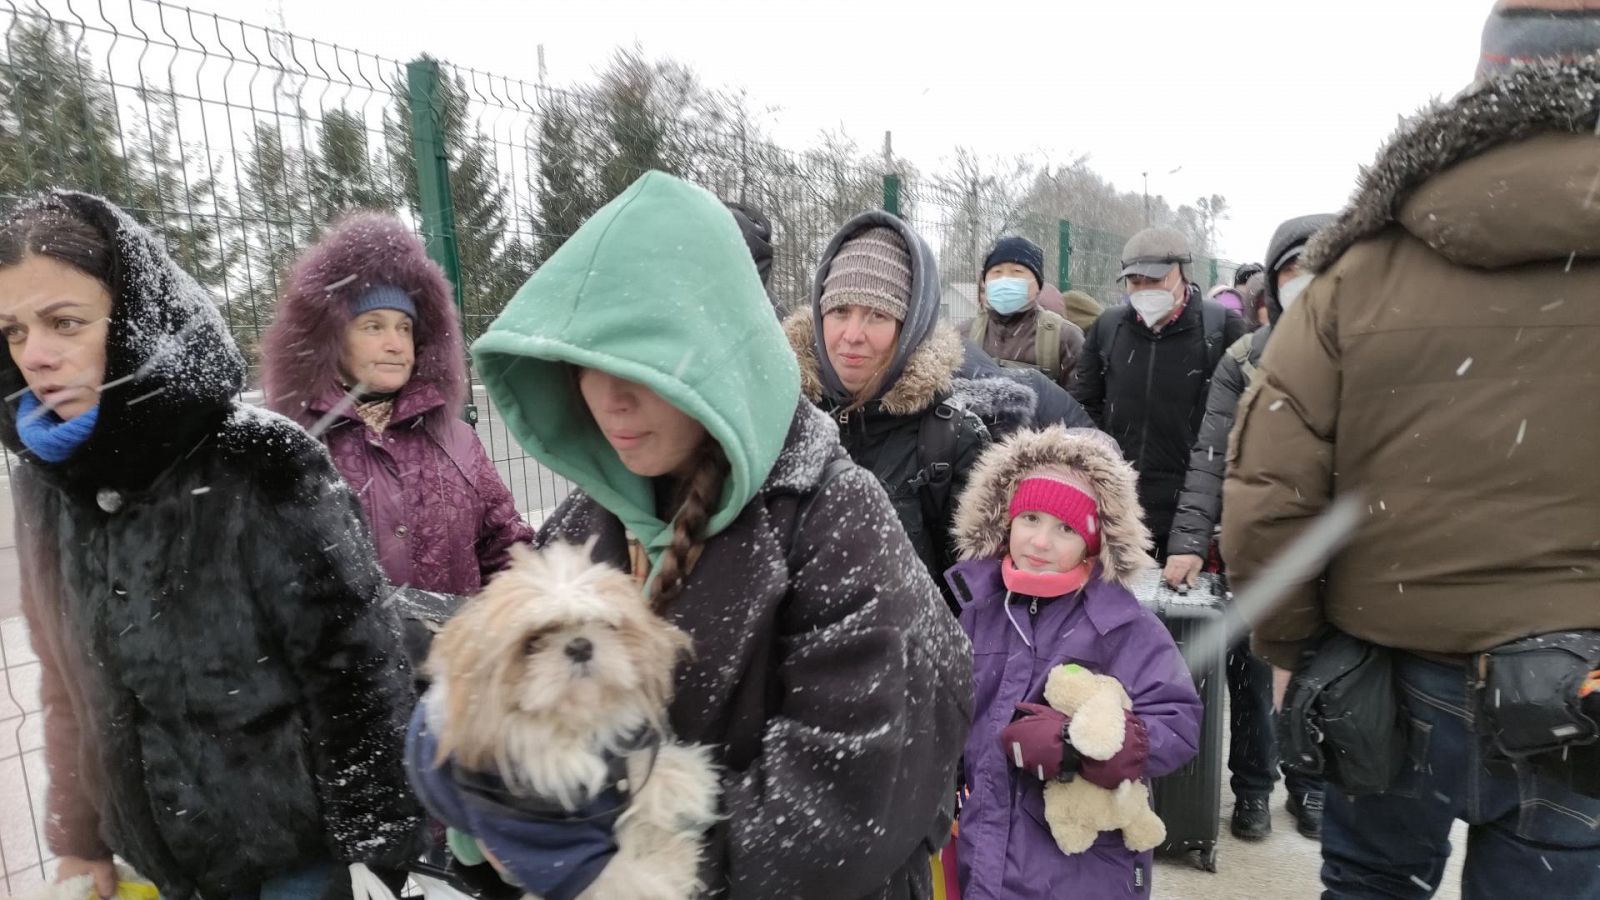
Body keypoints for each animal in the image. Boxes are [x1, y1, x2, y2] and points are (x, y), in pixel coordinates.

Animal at [428, 538, 723, 896]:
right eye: (532, 642)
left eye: (606, 624)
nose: (580, 645)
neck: (571, 728)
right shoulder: (552, 850)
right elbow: (626, 879)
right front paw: (673, 857)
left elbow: (645, 765)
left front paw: (687, 783)